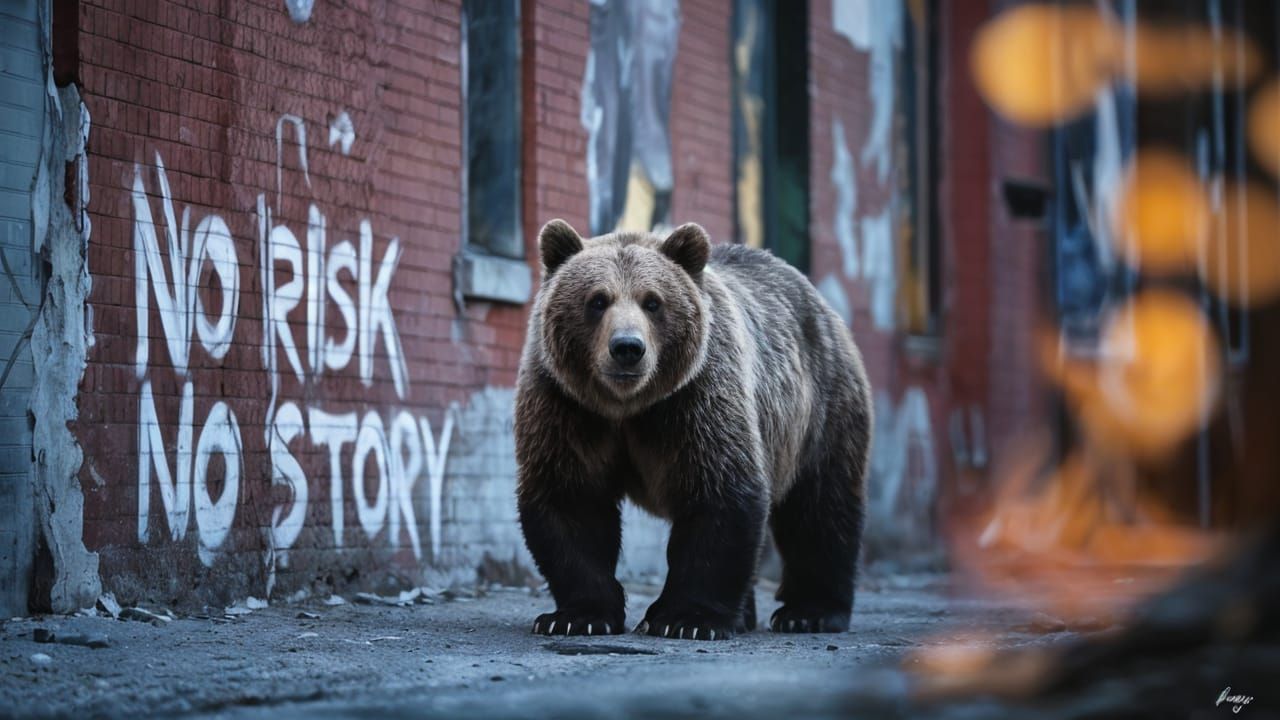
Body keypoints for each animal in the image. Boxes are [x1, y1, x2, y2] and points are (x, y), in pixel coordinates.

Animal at [515, 219, 872, 640]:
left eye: (652, 302)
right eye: (597, 300)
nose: (627, 348)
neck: (628, 407)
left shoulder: (696, 396)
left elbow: (719, 492)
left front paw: (687, 619)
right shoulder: (568, 405)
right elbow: (572, 498)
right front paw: (576, 616)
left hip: (820, 408)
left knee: (820, 507)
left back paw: (810, 612)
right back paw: (747, 613)